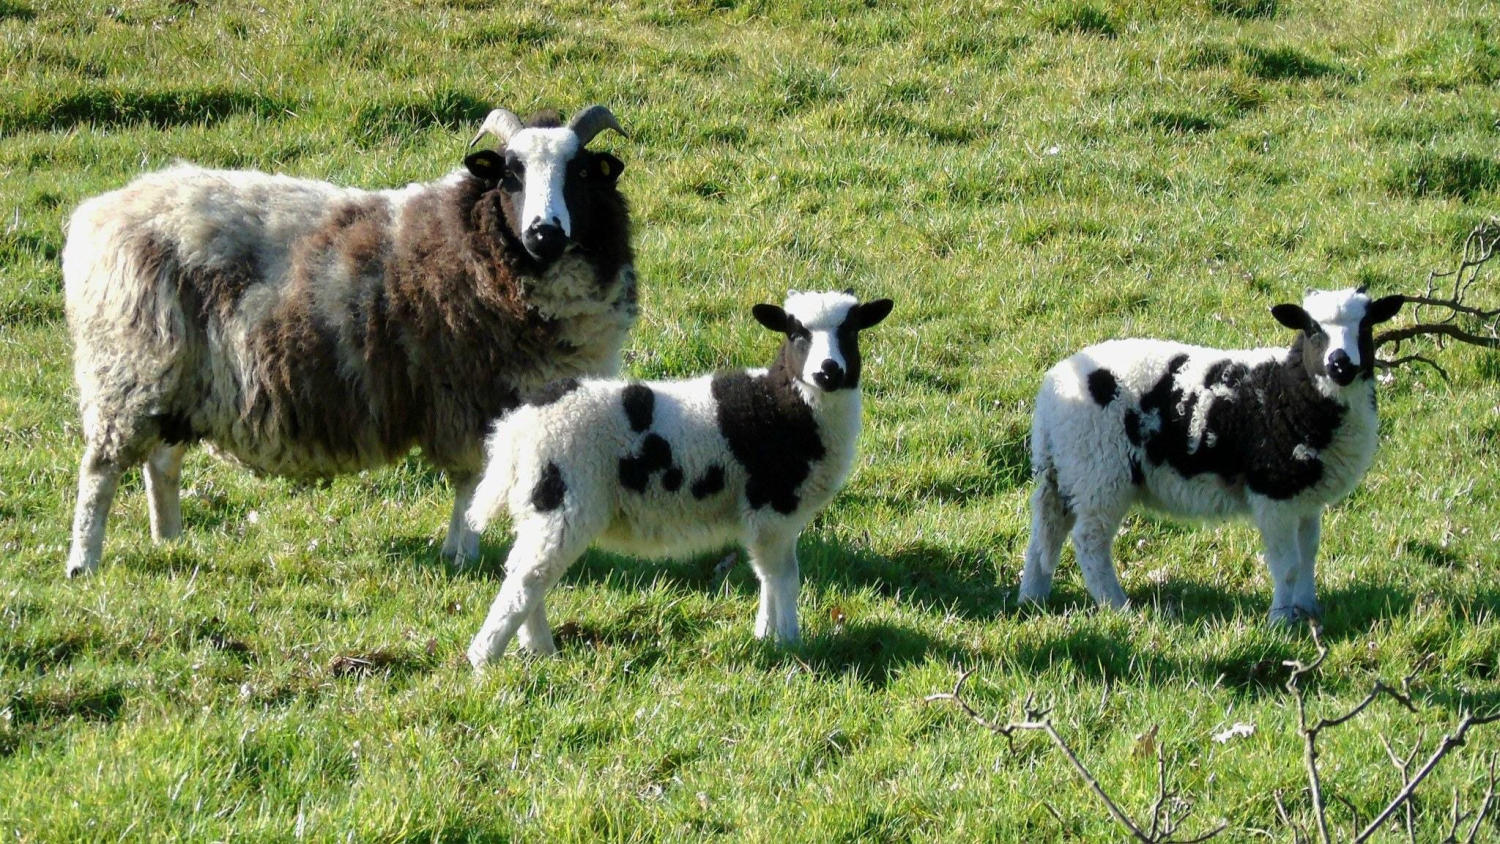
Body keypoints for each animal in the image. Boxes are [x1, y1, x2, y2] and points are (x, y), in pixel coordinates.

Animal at [62, 105, 636, 577]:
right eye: (511, 175)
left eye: (581, 173)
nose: (543, 232)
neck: (472, 243)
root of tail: (97, 214)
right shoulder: (469, 400)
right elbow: (471, 482)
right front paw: (463, 553)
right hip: (128, 368)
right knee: (100, 470)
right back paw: (83, 562)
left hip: (178, 379)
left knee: (161, 461)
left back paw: (170, 542)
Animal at [462, 290, 894, 667]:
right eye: (796, 334)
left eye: (851, 331)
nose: (828, 372)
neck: (783, 404)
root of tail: (517, 427)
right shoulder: (772, 507)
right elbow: (782, 576)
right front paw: (789, 641)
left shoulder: (769, 519)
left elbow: (768, 576)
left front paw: (767, 636)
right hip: (564, 497)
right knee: (528, 577)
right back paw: (484, 659)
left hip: (538, 502)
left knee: (524, 569)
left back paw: (539, 649)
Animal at [1018, 287, 1403, 623]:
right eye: (1311, 328)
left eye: (1366, 325)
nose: (1341, 364)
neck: (1290, 390)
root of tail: (1051, 390)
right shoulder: (1273, 491)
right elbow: (1287, 565)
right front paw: (1281, 621)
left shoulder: (1305, 496)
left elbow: (1308, 555)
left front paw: (1308, 609)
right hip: (1099, 470)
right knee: (1089, 542)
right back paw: (1118, 606)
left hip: (1065, 469)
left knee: (1045, 533)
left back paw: (1033, 598)